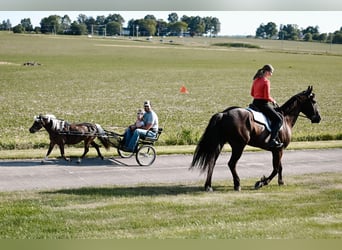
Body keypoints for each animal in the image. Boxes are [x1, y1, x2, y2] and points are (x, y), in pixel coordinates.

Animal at [191, 86, 322, 191]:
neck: (285, 118)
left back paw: (208, 186)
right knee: (231, 163)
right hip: (239, 145)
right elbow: (276, 168)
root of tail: (224, 114)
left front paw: (280, 182)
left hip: (221, 143)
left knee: (212, 161)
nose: (318, 118)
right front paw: (261, 182)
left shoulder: (277, 150)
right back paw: (237, 184)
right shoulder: (279, 150)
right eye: (314, 101)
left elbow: (279, 167)